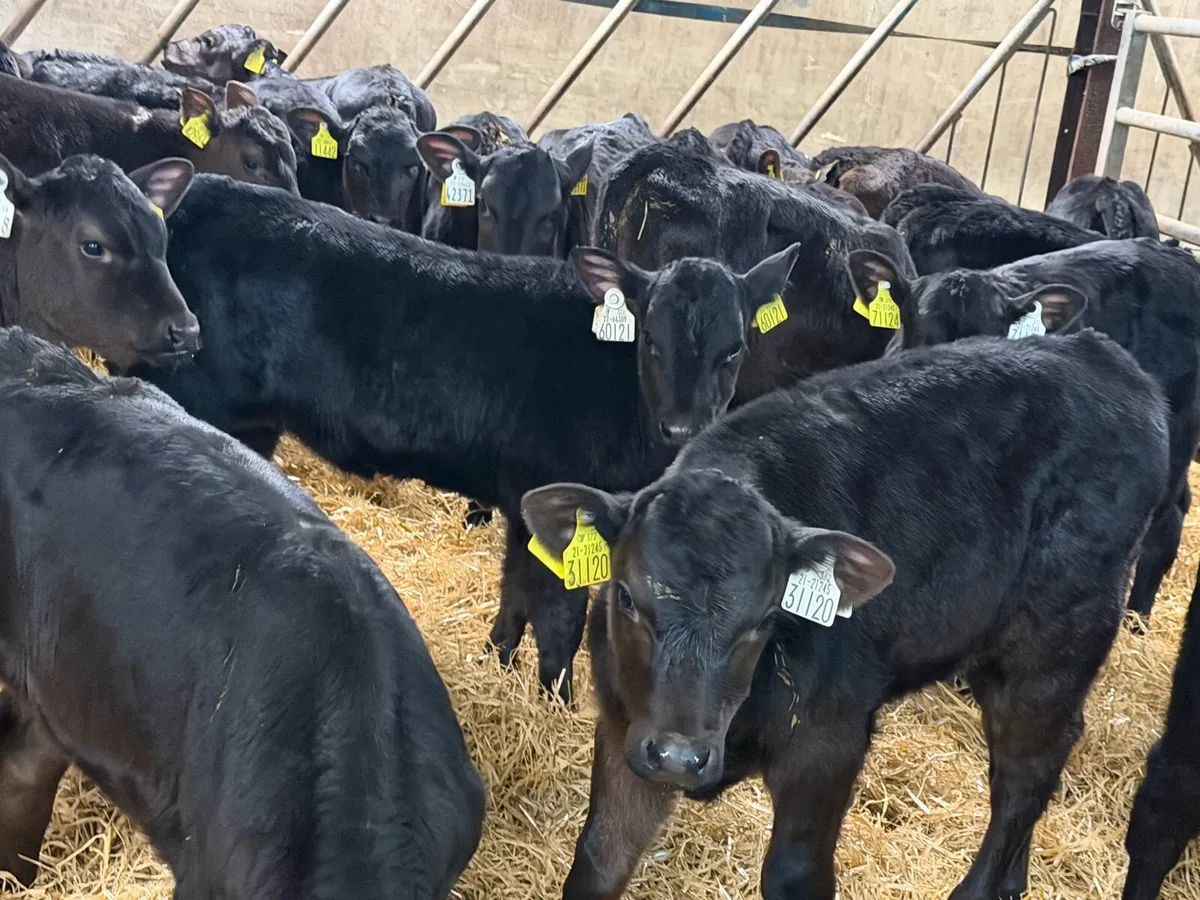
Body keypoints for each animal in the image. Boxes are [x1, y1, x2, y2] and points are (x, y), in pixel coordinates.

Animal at [521, 330, 1169, 900]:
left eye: (764, 620)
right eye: (627, 596)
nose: (681, 756)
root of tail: (1104, 357)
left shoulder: (828, 746)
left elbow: (794, 876)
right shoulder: (625, 726)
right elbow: (598, 861)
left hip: (1056, 644)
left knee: (1024, 772)